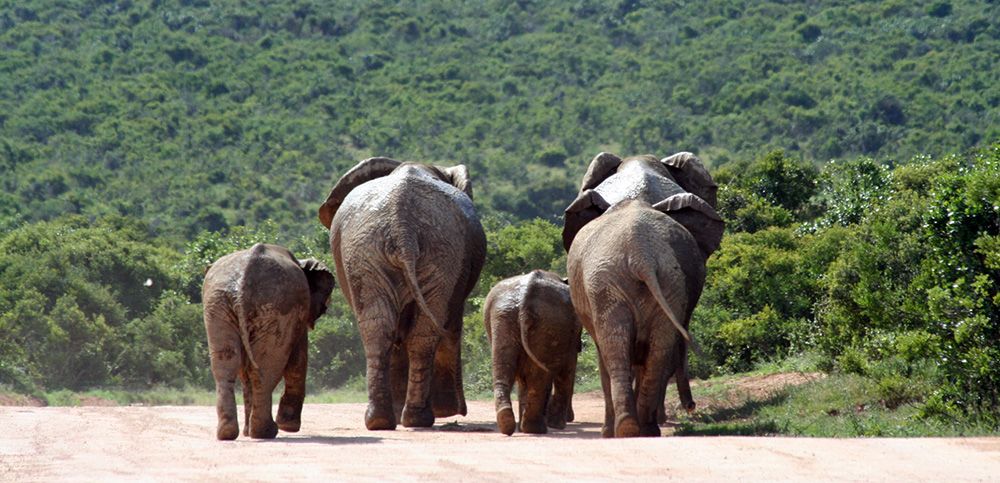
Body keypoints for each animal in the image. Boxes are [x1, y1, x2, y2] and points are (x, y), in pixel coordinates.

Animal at [203, 244, 336, 440]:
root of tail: (243, 279)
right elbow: (298, 361)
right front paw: (289, 427)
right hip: (275, 305)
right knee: (265, 369)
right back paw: (266, 432)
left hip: (219, 304)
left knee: (227, 365)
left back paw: (231, 433)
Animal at [318, 157, 486, 430]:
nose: (459, 410)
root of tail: (402, 224)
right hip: (379, 250)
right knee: (394, 328)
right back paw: (399, 419)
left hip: (416, 250)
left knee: (387, 328)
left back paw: (395, 419)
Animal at [482, 270, 584, 436]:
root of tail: (525, 296)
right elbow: (568, 368)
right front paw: (557, 425)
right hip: (549, 322)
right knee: (541, 375)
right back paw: (536, 429)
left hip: (503, 318)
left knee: (505, 369)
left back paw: (510, 425)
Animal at [564, 152, 720, 438]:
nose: (691, 407)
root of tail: (641, 254)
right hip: (642, 283)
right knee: (650, 350)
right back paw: (638, 428)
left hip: (623, 284)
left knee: (621, 352)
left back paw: (629, 429)